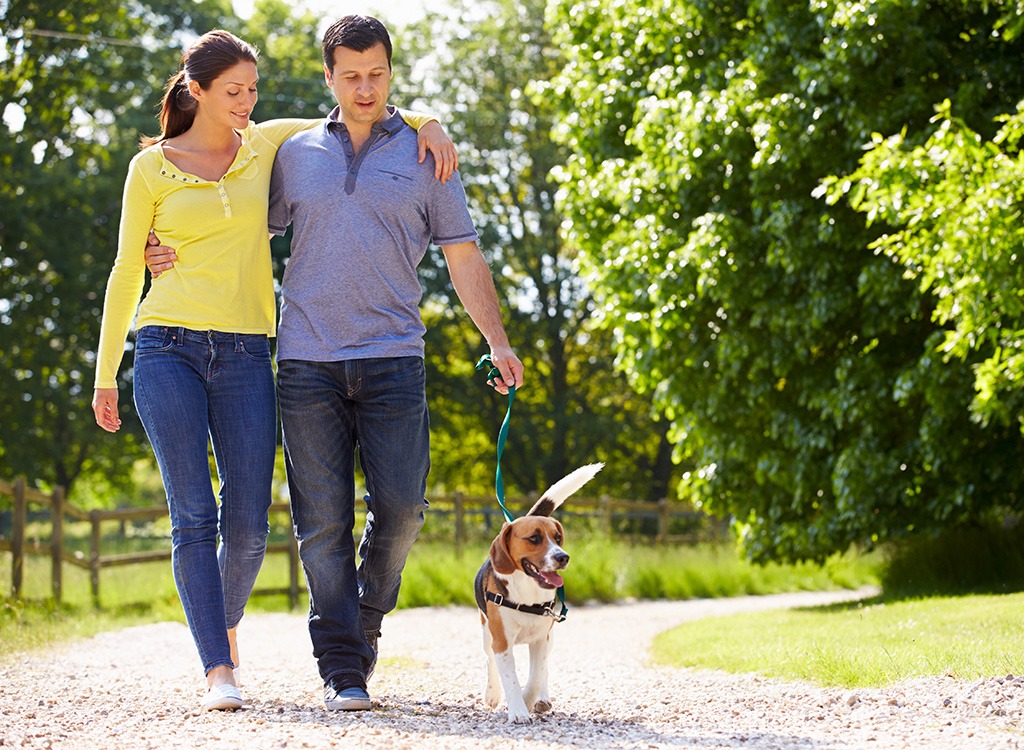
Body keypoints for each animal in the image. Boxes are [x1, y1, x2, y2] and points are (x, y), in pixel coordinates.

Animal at [475, 459, 602, 725]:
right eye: (534, 538)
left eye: (558, 538)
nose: (563, 557)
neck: (527, 593)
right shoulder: (502, 641)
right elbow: (509, 677)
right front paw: (518, 711)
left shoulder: (541, 639)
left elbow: (534, 677)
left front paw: (527, 700)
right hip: (486, 632)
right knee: (490, 660)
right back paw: (492, 694)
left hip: (550, 636)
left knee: (543, 670)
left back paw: (542, 699)